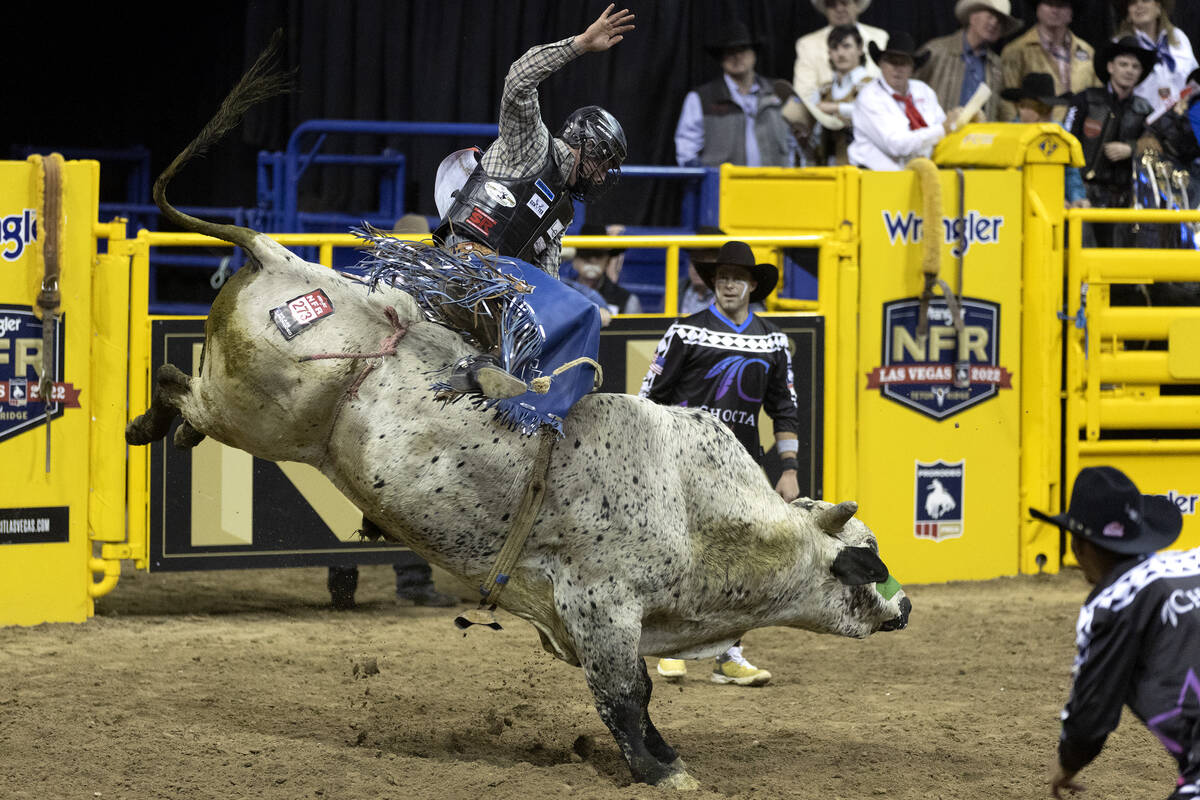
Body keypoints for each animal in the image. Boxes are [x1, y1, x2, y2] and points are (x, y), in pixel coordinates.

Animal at [126, 38, 912, 790]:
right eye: (868, 560)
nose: (906, 608)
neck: (698, 512)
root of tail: (282, 258)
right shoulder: (601, 604)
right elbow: (628, 695)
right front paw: (666, 769)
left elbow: (631, 694)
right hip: (255, 412)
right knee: (174, 381)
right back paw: (150, 425)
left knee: (179, 382)